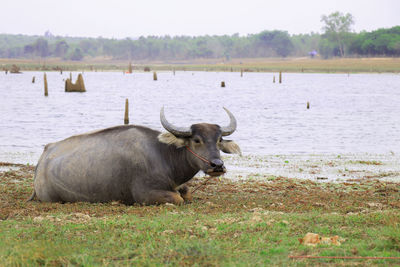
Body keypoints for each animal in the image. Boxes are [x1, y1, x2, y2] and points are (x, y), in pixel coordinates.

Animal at [30, 108, 241, 206]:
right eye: (197, 140)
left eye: (219, 139)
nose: (217, 165)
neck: (164, 156)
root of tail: (43, 158)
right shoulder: (146, 194)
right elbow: (179, 199)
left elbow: (187, 193)